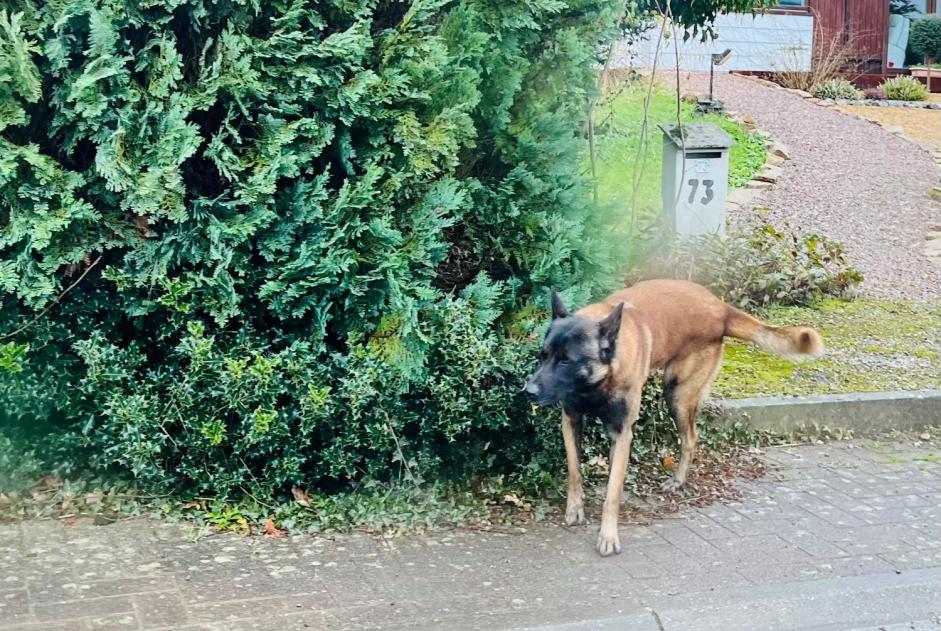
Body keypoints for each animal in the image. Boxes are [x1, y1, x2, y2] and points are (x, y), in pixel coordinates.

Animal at [520, 278, 824, 556]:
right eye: (543, 356)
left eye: (566, 360)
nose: (529, 392)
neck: (597, 382)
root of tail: (720, 308)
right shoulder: (571, 421)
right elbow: (574, 471)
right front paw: (575, 509)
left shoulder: (622, 432)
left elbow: (612, 493)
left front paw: (608, 535)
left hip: (677, 395)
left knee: (690, 437)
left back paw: (678, 480)